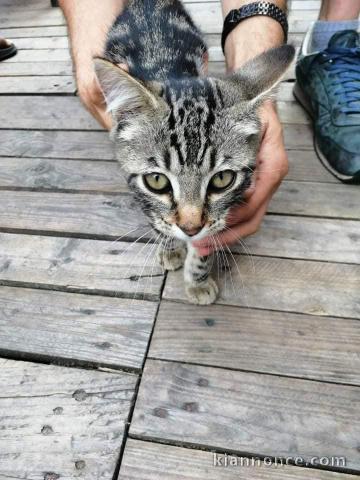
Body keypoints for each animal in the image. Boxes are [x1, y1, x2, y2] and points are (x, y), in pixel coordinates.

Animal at [95, 0, 296, 304]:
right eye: (157, 181)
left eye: (222, 179)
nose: (190, 228)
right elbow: (158, 221)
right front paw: (170, 248)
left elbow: (208, 240)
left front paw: (198, 278)